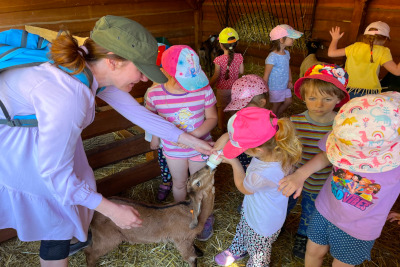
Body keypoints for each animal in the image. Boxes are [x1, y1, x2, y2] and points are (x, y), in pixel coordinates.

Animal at [84, 166, 216, 266]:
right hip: (107, 238)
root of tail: (93, 214)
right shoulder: (182, 240)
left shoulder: (189, 239)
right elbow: (190, 258)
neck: (189, 211)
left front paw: (200, 252)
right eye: (198, 183)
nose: (209, 167)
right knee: (89, 252)